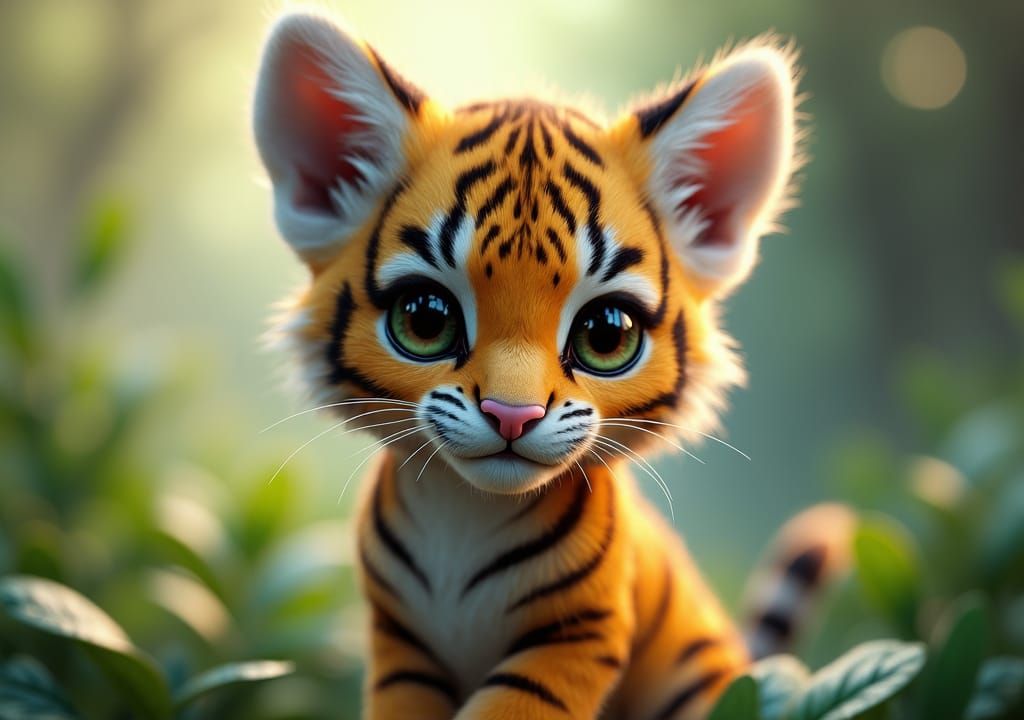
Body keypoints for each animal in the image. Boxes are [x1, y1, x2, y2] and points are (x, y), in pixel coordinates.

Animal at [252, 10, 854, 719]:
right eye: (425, 318)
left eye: (606, 334)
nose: (511, 415)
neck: (467, 513)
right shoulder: (403, 646)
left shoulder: (575, 638)